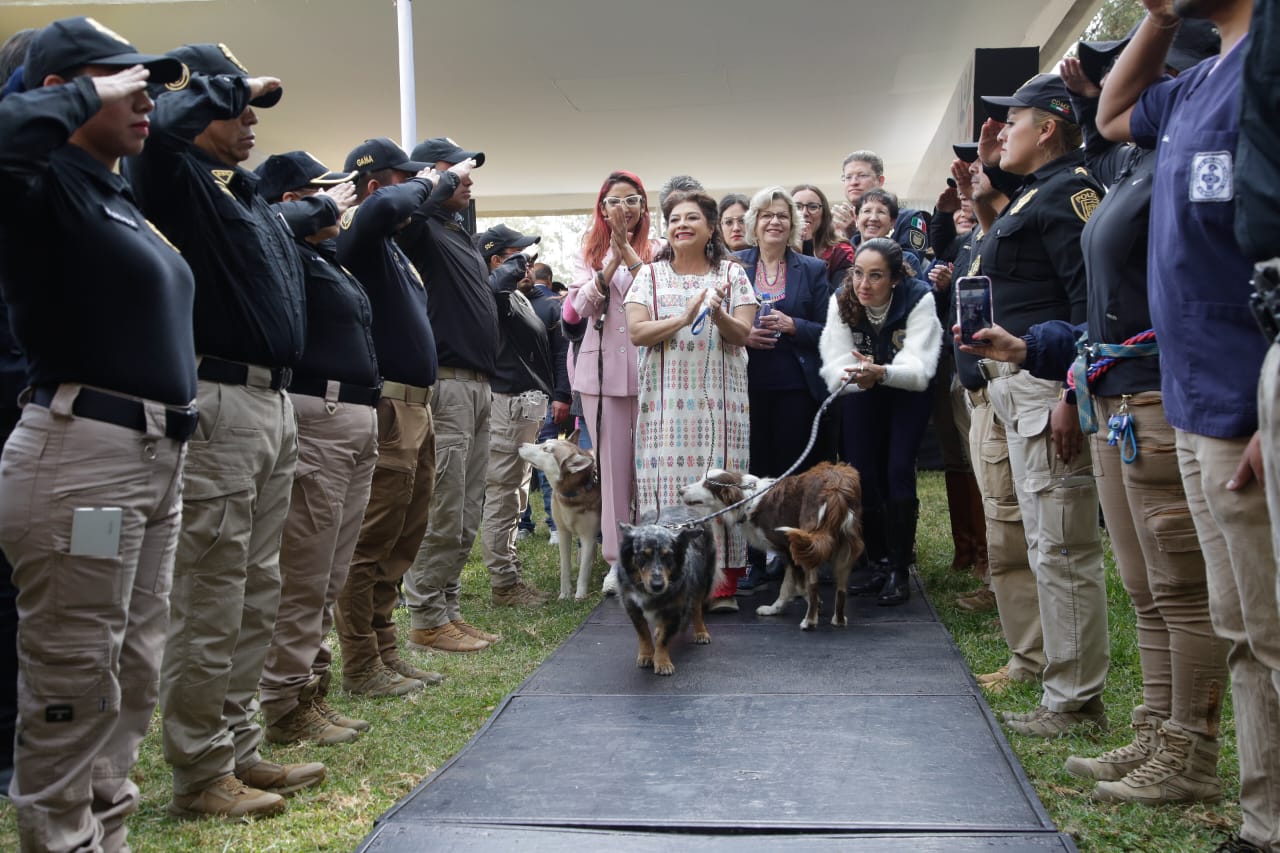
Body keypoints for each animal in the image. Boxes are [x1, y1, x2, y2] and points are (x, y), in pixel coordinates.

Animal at [517, 432, 601, 596]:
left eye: (546, 449)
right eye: (544, 442)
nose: (520, 444)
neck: (571, 495)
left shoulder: (588, 535)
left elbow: (583, 572)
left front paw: (579, 596)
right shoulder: (563, 532)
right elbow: (565, 567)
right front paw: (565, 594)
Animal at [616, 504, 721, 676]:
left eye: (668, 556)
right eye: (643, 555)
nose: (658, 585)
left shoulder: (675, 609)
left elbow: (664, 639)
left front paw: (662, 662)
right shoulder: (631, 606)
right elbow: (643, 633)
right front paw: (646, 655)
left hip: (703, 580)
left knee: (697, 608)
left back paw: (700, 632)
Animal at [675, 461, 865, 627]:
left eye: (707, 485)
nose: (680, 490)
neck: (747, 501)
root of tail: (836, 487)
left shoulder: (790, 549)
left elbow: (793, 585)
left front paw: (794, 606)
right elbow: (791, 585)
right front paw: (778, 609)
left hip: (809, 537)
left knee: (813, 585)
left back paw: (809, 621)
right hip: (844, 546)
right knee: (841, 589)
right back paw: (839, 620)